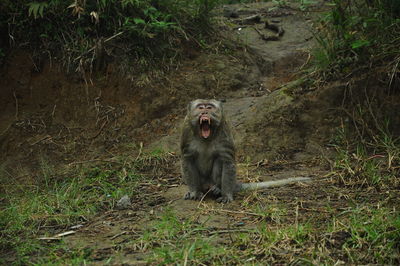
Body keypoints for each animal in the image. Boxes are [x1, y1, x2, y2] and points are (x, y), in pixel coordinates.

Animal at [180, 100, 310, 204]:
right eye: (200, 107)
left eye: (209, 107)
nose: (205, 113)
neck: (206, 137)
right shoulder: (186, 130)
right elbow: (187, 159)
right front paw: (194, 192)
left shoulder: (224, 130)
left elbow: (227, 161)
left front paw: (226, 195)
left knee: (219, 160)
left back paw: (217, 187)